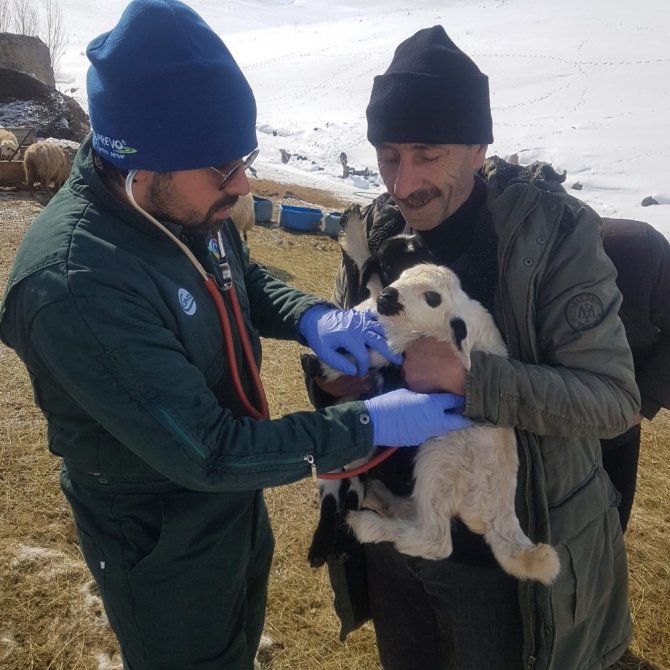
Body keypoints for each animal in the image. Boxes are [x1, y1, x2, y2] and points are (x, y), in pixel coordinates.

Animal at [346, 266, 560, 584]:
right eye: (402, 274)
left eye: (432, 298)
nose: (387, 295)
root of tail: (498, 514)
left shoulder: (405, 338)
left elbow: (382, 343)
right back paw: (381, 497)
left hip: (439, 462)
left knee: (435, 539)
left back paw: (366, 523)